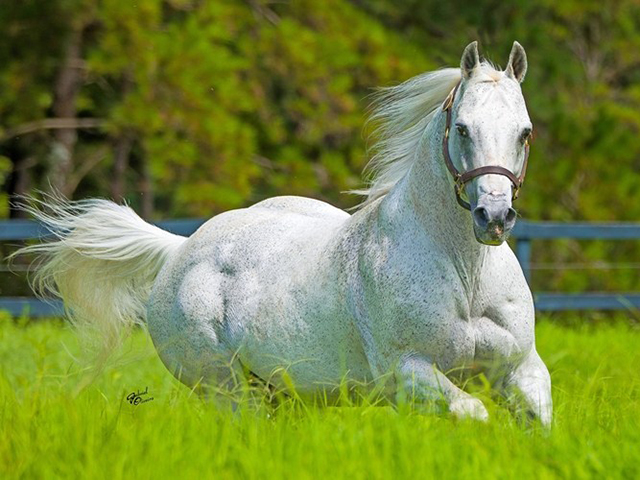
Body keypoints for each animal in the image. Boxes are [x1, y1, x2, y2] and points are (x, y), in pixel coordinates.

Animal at [20, 40, 552, 424]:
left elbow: (538, 420)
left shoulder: (522, 369)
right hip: (232, 393)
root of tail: (182, 250)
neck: (466, 276)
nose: (493, 217)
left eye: (525, 131)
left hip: (284, 395)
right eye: (462, 128)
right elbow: (474, 412)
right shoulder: (408, 372)